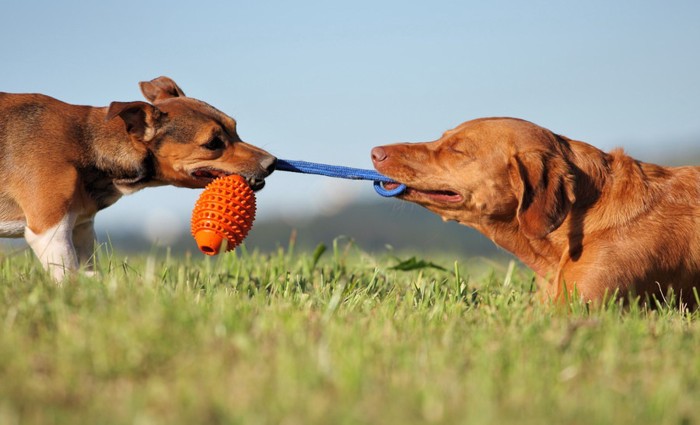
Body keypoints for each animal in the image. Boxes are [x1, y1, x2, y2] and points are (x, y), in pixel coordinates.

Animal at [1, 77, 278, 278]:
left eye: (235, 128)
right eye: (212, 143)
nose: (272, 162)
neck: (87, 141)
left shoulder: (81, 226)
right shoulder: (50, 230)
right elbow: (67, 275)